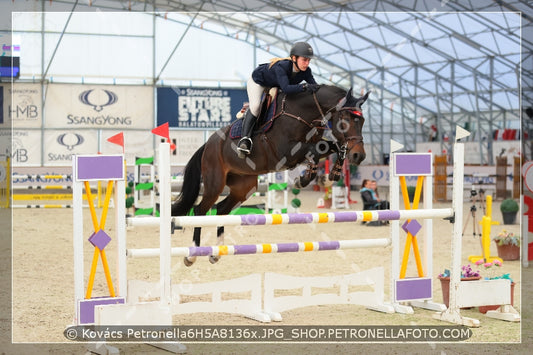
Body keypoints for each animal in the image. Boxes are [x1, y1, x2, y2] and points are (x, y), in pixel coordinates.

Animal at [172, 85, 368, 266]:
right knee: (200, 210)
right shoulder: (286, 151)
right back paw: (191, 255)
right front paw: (307, 178)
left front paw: (323, 175)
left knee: (221, 209)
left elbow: (329, 148)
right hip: (215, 183)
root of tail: (208, 144)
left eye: (362, 120)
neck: (303, 112)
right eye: (345, 120)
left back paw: (216, 253)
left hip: (245, 187)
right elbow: (317, 149)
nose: (359, 156)